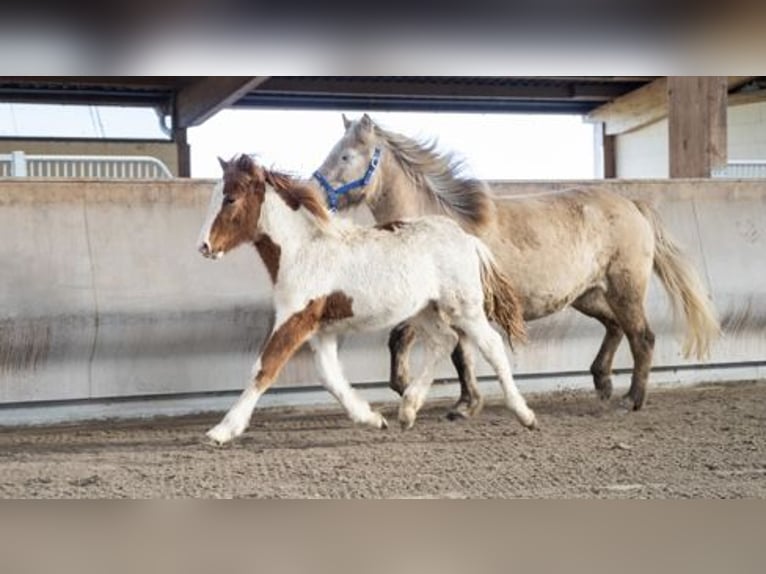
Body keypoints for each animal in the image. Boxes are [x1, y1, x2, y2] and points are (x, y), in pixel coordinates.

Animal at [197, 154, 536, 445]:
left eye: (230, 198)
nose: (203, 246)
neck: (304, 249)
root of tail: (467, 238)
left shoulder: (296, 317)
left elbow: (265, 366)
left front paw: (222, 430)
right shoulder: (321, 328)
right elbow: (330, 376)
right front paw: (373, 419)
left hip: (464, 308)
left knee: (492, 345)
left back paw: (525, 415)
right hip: (424, 310)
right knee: (445, 341)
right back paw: (407, 412)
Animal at [314, 113, 720, 417]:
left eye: (346, 156)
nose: (315, 191)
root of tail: (632, 205)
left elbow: (436, 346)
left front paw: (447, 400)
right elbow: (447, 350)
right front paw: (459, 402)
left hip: (626, 288)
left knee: (642, 337)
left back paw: (631, 399)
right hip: (587, 295)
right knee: (616, 328)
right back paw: (602, 383)